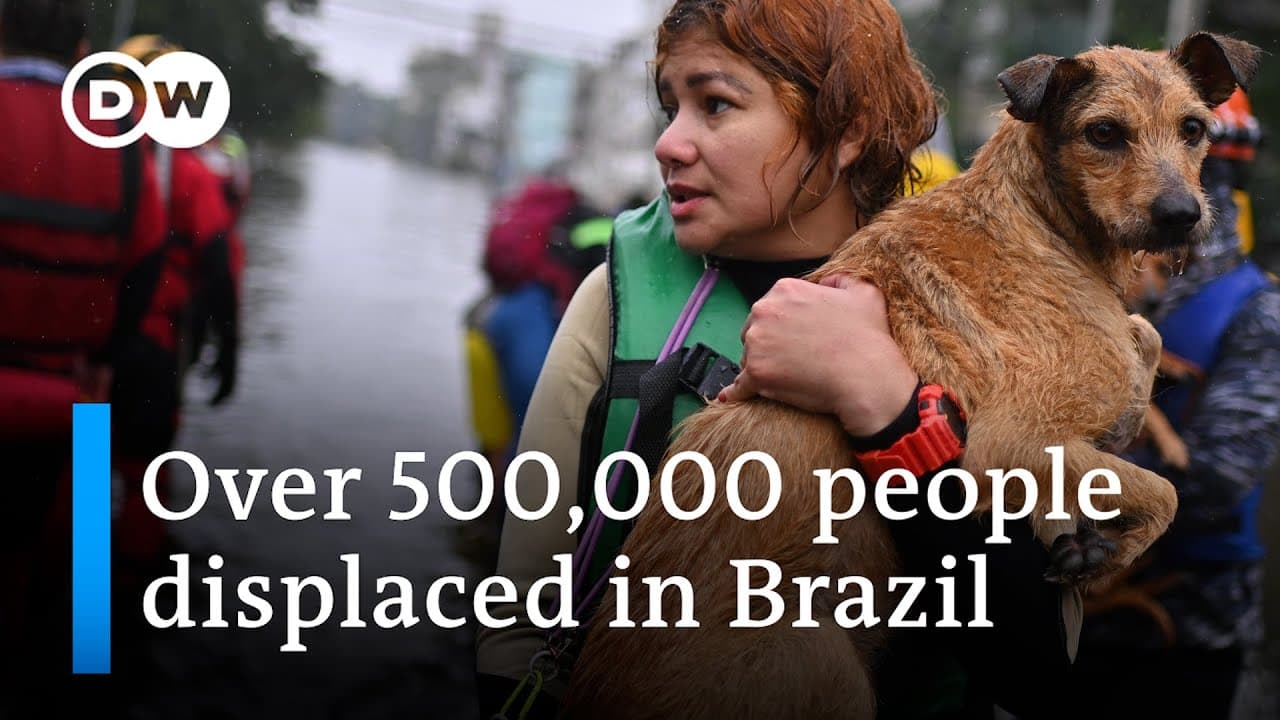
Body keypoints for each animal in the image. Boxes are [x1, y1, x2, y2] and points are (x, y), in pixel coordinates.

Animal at [568, 33, 1259, 717]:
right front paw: (1107, 552)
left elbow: (1146, 341)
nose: (1182, 214)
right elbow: (1165, 492)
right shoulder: (1009, 446)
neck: (1040, 221)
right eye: (1105, 132)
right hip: (824, 659)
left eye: (1194, 129)